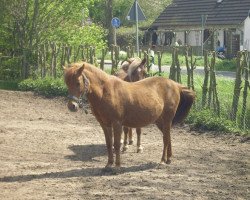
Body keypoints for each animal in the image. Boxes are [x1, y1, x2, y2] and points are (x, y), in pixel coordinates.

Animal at [64, 61, 195, 170]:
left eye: (78, 82)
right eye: (67, 83)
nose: (72, 106)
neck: (105, 92)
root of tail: (175, 85)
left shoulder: (117, 124)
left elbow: (117, 144)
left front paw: (117, 166)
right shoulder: (105, 125)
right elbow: (109, 144)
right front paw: (108, 164)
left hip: (167, 119)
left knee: (165, 139)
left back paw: (162, 161)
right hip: (159, 121)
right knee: (168, 136)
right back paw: (168, 159)